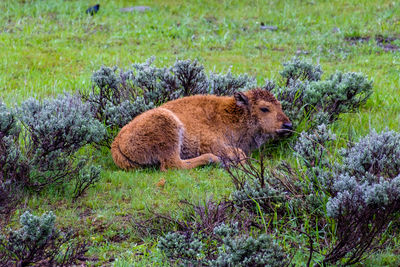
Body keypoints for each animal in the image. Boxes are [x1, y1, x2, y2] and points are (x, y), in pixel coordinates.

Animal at [111, 88, 292, 172]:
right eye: (264, 108)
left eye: (280, 106)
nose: (288, 126)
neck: (233, 115)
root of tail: (117, 142)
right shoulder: (212, 143)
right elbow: (240, 154)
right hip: (169, 128)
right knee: (173, 164)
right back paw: (212, 160)